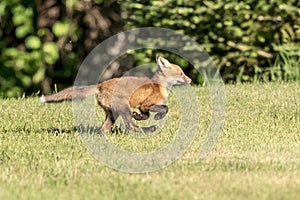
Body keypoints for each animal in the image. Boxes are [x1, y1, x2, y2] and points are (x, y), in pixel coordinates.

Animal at [39, 54, 191, 133]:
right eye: (181, 73)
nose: (190, 80)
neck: (160, 85)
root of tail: (100, 85)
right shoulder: (146, 104)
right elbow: (165, 108)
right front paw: (158, 117)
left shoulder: (142, 107)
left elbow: (146, 115)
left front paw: (139, 116)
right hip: (123, 108)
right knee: (129, 125)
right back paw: (148, 130)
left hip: (112, 114)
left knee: (103, 129)